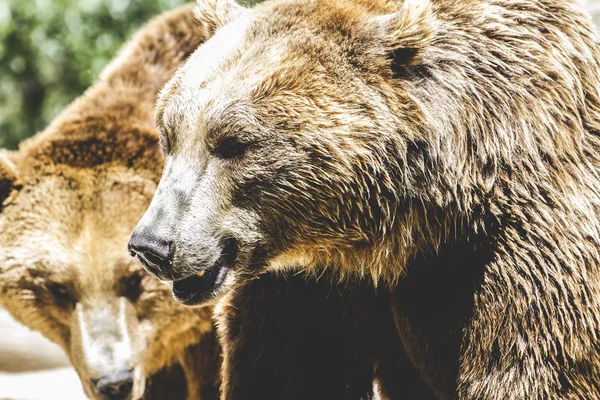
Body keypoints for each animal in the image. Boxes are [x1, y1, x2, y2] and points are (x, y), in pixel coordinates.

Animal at [131, 0, 600, 398]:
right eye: (169, 135)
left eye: (231, 143)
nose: (152, 245)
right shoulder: (308, 280)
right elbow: (291, 369)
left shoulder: (524, 245)